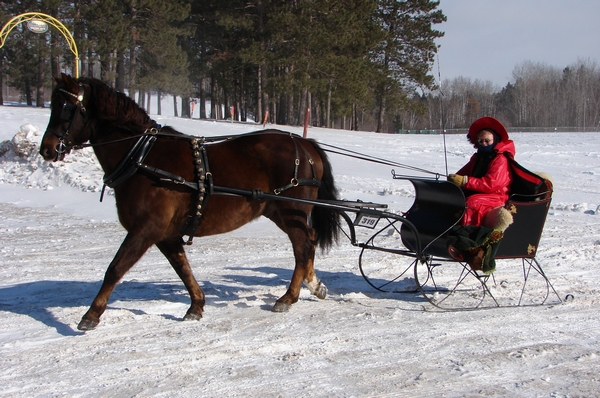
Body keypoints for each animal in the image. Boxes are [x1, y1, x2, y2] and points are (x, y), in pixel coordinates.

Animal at [39, 74, 340, 330]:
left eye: (66, 108)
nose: (47, 149)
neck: (142, 158)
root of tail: (305, 145)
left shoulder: (145, 229)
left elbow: (115, 268)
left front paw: (91, 314)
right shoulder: (165, 234)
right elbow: (182, 268)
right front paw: (196, 305)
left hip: (291, 211)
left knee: (302, 247)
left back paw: (288, 297)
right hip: (278, 211)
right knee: (309, 240)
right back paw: (314, 285)